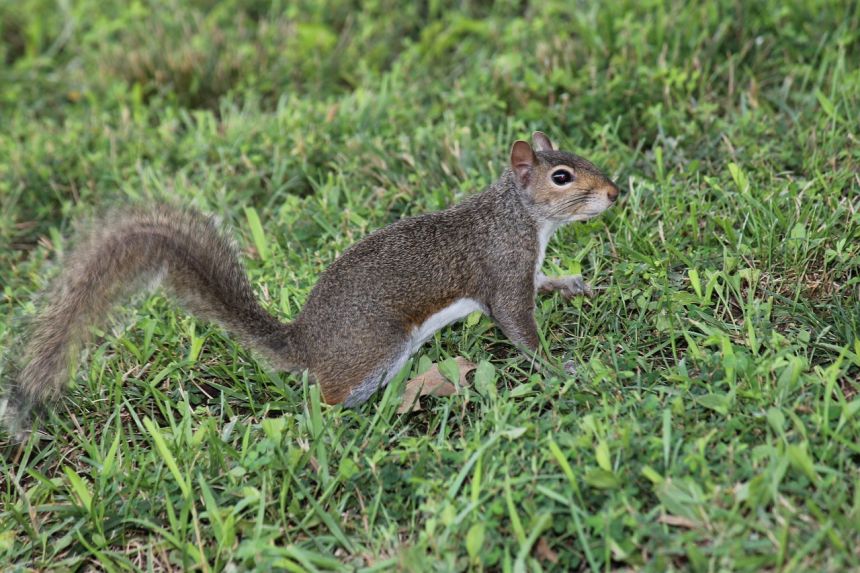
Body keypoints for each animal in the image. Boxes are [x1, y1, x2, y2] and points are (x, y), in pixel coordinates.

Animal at [0, 133, 620, 438]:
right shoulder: (502, 268)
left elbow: (543, 285)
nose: (616, 193)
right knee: (323, 400)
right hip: (376, 348)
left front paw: (573, 284)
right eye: (561, 177)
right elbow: (518, 327)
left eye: (582, 156)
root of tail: (303, 342)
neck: (519, 216)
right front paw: (563, 368)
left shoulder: (524, 268)